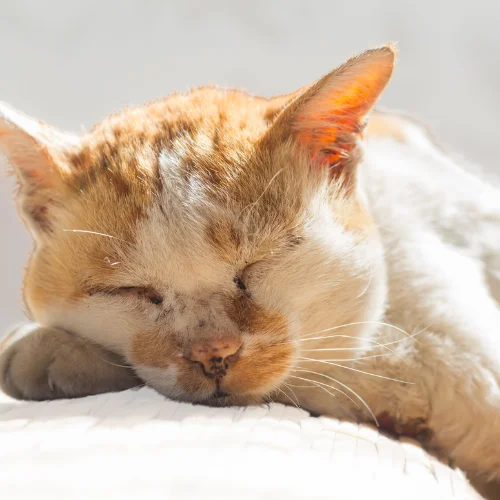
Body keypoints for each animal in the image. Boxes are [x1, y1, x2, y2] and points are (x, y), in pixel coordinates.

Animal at [0, 45, 500, 482]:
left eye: (256, 266)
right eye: (132, 291)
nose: (212, 353)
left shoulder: (464, 370)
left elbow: (331, 367)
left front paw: (46, 352)